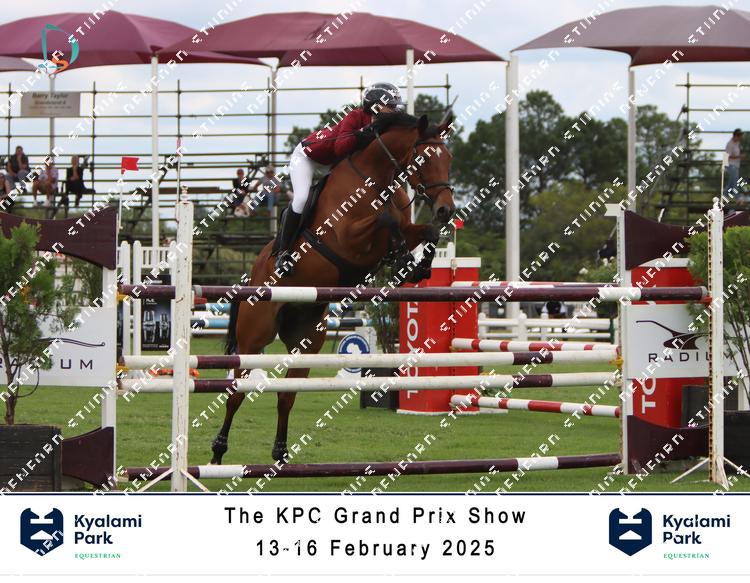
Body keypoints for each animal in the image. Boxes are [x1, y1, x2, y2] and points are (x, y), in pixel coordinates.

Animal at [210, 110, 456, 464]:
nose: (446, 209)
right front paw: (404, 258)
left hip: (307, 339)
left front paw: (415, 265)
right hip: (254, 337)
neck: (377, 178)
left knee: (287, 396)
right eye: (423, 159)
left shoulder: (406, 228)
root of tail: (251, 278)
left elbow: (423, 231)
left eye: (449, 159)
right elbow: (386, 219)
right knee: (235, 394)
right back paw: (217, 452)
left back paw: (280, 454)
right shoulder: (347, 236)